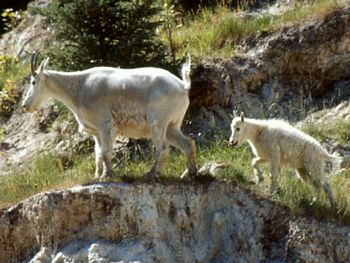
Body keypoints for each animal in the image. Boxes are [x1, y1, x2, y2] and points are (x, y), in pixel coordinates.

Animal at [21, 53, 197, 182]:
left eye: (33, 81)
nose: (25, 105)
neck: (78, 89)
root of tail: (183, 86)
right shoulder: (96, 132)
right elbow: (99, 154)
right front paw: (98, 175)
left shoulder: (104, 124)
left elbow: (106, 152)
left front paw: (106, 176)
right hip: (172, 126)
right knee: (188, 143)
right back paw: (189, 173)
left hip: (158, 122)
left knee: (163, 148)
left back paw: (151, 174)